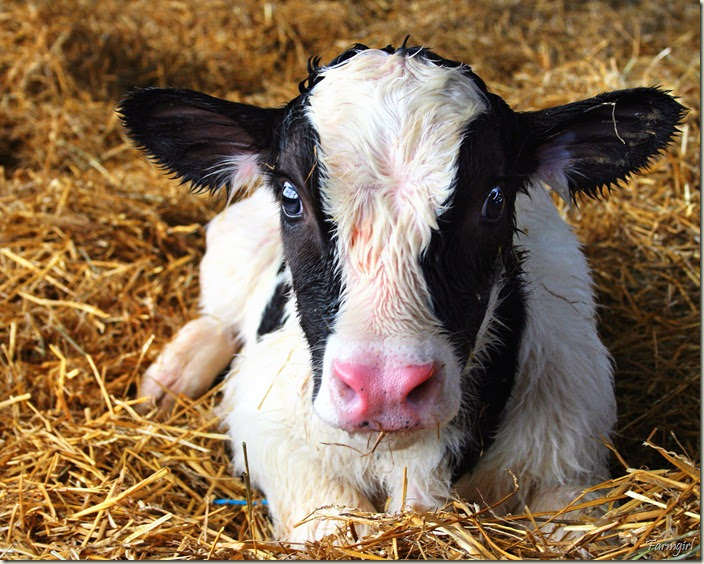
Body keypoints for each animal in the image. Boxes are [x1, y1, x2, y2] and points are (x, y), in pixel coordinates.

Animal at [118, 43, 684, 542]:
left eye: (494, 198)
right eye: (291, 196)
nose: (384, 387)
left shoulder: (572, 458)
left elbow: (574, 532)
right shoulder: (266, 421)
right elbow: (333, 523)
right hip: (233, 244)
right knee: (217, 316)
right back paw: (169, 380)